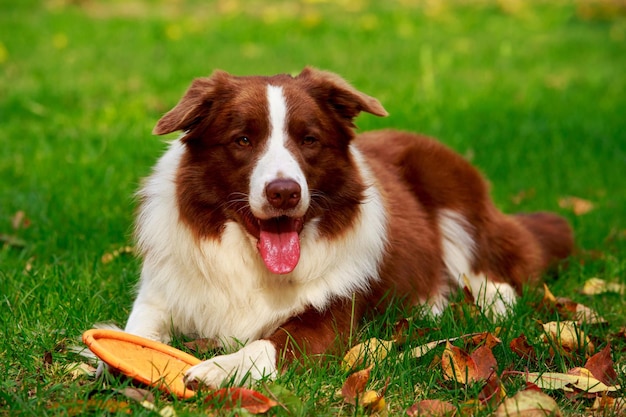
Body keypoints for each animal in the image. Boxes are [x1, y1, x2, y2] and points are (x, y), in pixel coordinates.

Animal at [124, 66, 572, 388]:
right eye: (243, 140)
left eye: (309, 140)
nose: (284, 193)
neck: (253, 264)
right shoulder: (161, 293)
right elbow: (139, 331)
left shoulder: (334, 315)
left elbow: (272, 343)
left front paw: (220, 368)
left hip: (454, 193)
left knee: (493, 271)